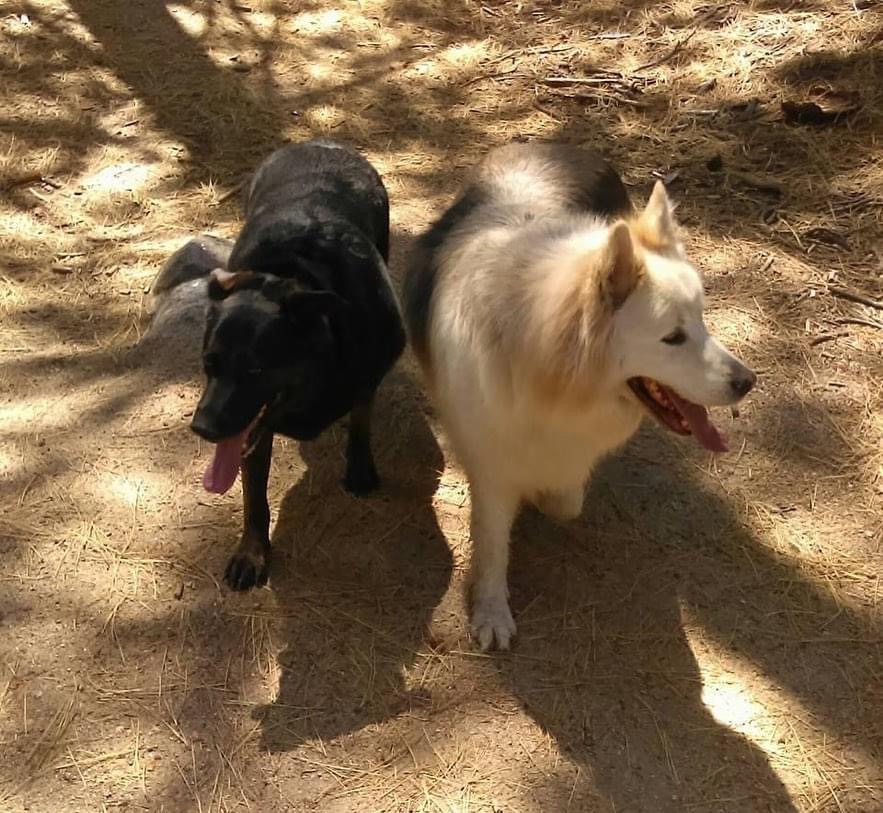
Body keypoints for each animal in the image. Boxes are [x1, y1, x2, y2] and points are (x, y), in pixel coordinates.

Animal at [190, 140, 408, 588]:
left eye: (255, 370)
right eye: (209, 362)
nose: (202, 428)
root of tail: (322, 141)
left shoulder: (369, 368)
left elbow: (362, 415)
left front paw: (359, 467)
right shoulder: (251, 431)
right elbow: (254, 496)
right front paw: (252, 553)